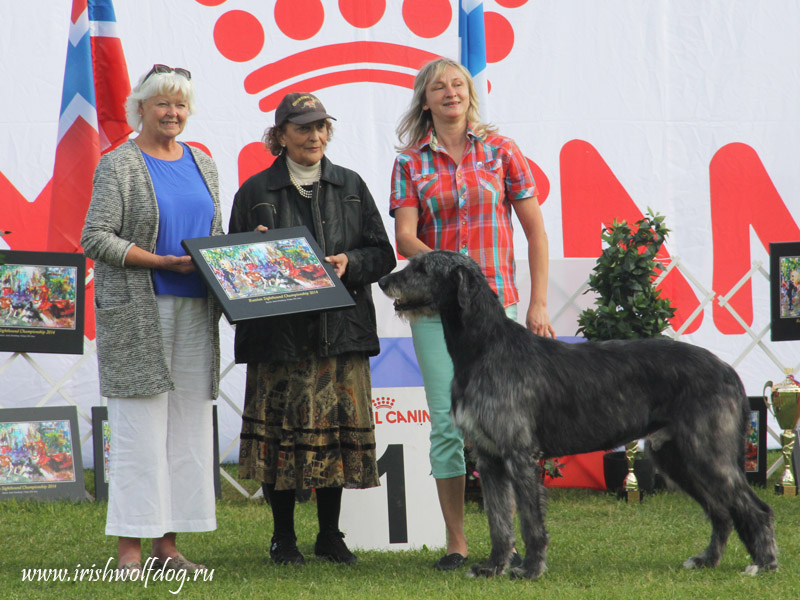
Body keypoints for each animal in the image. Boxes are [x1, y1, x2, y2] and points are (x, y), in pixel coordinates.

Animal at [378, 250, 780, 580]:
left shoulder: (519, 454)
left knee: (754, 508)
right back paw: (708, 560)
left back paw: (763, 564)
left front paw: (530, 569)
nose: (383, 281)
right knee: (721, 511)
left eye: (423, 267)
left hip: (707, 452)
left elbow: (529, 521)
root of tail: (728, 370)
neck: (485, 347)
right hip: (675, 456)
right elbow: (498, 521)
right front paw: (493, 567)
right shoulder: (489, 458)